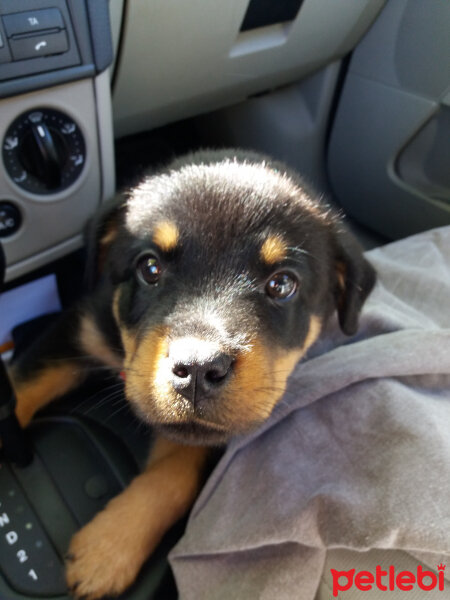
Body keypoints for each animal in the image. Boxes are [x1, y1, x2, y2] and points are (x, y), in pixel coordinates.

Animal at [10, 149, 376, 596]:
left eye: (282, 284)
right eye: (149, 268)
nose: (199, 368)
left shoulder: (213, 435)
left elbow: (175, 476)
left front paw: (108, 548)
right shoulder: (78, 329)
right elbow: (23, 384)